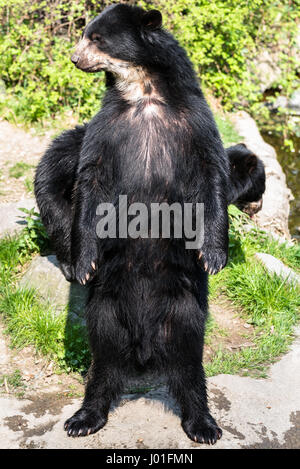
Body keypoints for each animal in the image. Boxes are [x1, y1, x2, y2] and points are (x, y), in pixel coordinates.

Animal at [35, 2, 264, 442]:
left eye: (96, 38)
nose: (73, 58)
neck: (144, 92)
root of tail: (143, 345)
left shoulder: (194, 121)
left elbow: (211, 174)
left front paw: (214, 255)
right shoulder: (107, 128)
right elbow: (89, 181)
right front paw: (84, 262)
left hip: (185, 307)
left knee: (190, 364)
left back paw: (203, 423)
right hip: (105, 308)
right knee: (103, 359)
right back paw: (84, 417)